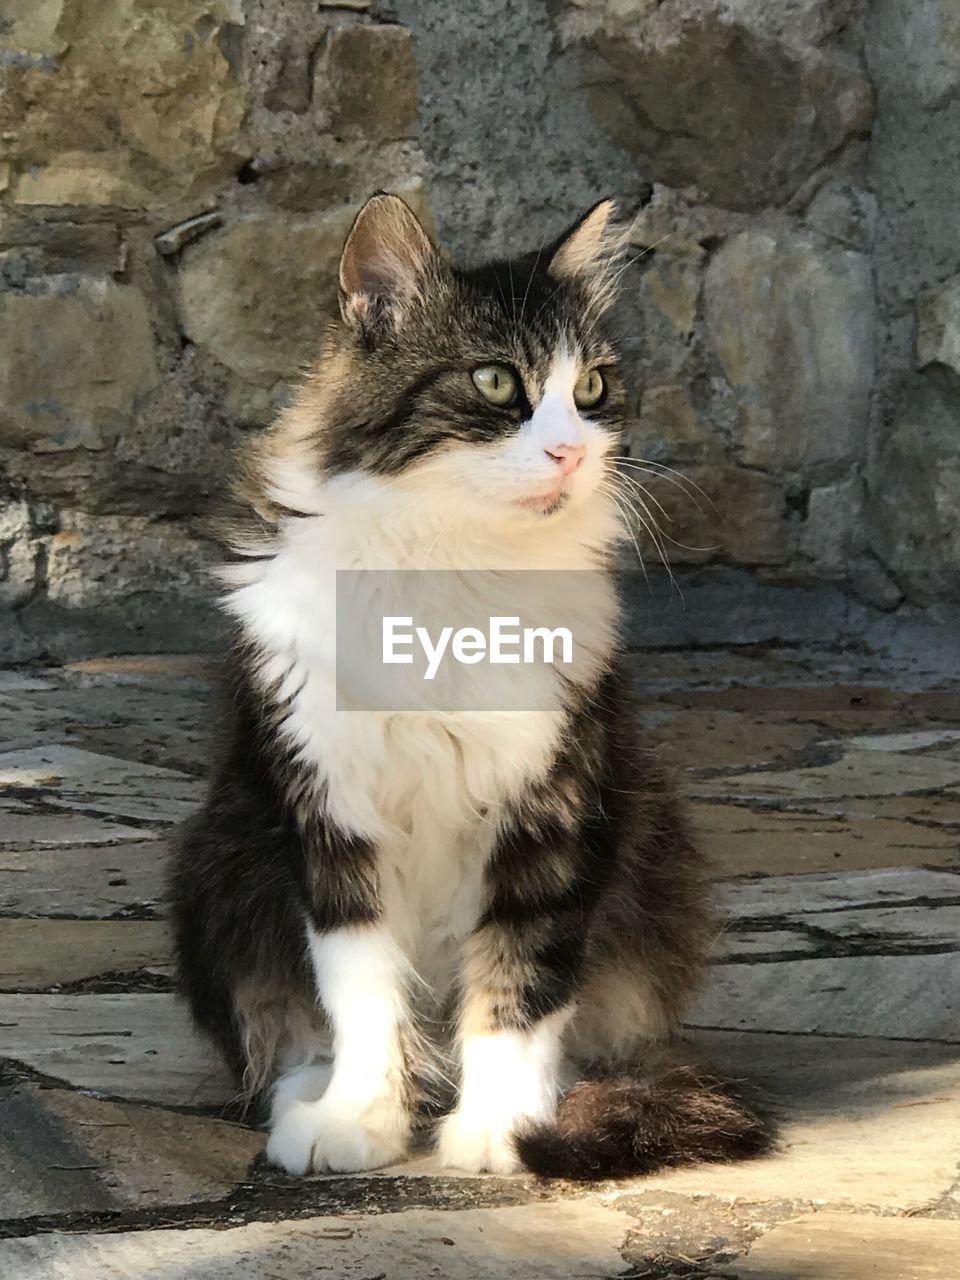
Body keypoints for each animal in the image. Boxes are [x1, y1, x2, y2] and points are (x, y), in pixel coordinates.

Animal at [168, 192, 773, 1177]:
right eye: (496, 383)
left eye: (592, 388)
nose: (571, 453)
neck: (455, 564)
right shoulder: (331, 818)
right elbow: (362, 994)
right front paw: (360, 1117)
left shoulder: (550, 812)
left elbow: (518, 988)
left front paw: (501, 1126)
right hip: (220, 858)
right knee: (286, 1034)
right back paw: (308, 1098)